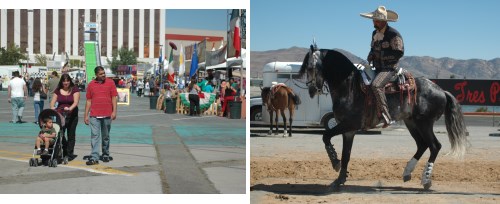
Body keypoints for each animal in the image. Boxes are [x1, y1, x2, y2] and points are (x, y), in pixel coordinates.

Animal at [300, 43, 468, 190]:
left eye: (310, 67)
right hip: (411, 123)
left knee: (434, 146)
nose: (311, 90)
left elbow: (326, 136)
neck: (349, 87)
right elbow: (346, 154)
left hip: (424, 123)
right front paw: (339, 180)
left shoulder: (349, 124)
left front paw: (335, 163)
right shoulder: (348, 130)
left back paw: (426, 180)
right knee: (422, 145)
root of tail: (441, 91)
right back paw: (407, 172)